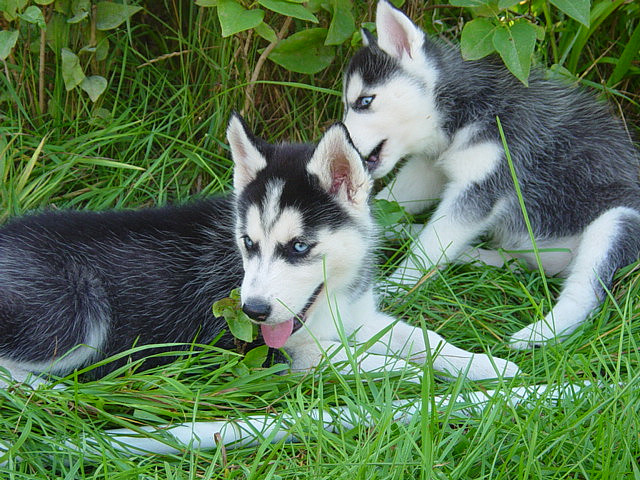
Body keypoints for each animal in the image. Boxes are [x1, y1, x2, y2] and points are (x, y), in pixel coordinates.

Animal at [0, 115, 520, 386]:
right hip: (75, 315)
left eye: (299, 246)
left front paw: (486, 365)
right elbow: (372, 362)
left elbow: (426, 340)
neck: (326, 304)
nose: (252, 310)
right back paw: (43, 389)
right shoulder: (278, 356)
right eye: (248, 244)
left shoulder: (359, 316)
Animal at [342, 1, 640, 350]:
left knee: (585, 294)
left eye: (364, 101)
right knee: (508, 260)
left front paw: (394, 286)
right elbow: (396, 208)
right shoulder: (427, 170)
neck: (466, 112)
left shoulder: (485, 184)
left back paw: (538, 334)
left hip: (616, 222)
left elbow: (428, 249)